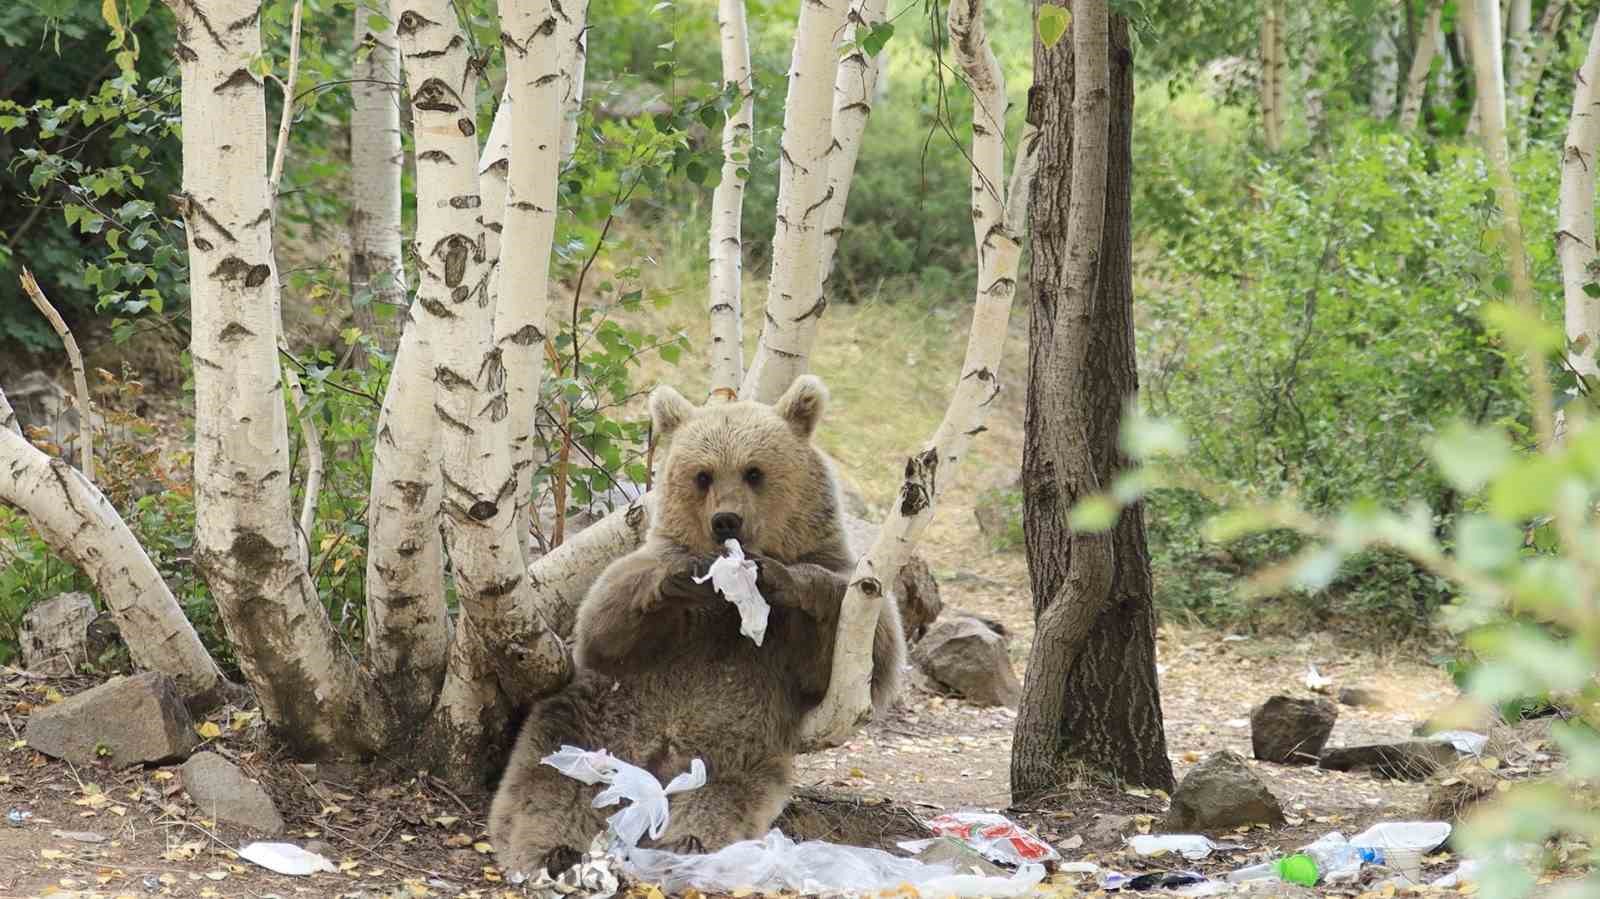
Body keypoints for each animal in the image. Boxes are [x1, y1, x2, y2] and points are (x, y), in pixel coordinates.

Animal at [486, 374, 908, 870]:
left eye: (753, 471)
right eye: (703, 475)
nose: (726, 519)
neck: (729, 610)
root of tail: (654, 765)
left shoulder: (822, 604)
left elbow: (870, 653)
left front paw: (783, 579)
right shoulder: (658, 596)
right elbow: (604, 626)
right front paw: (682, 582)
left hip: (739, 741)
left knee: (723, 795)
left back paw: (686, 842)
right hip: (596, 718)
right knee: (553, 775)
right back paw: (552, 847)